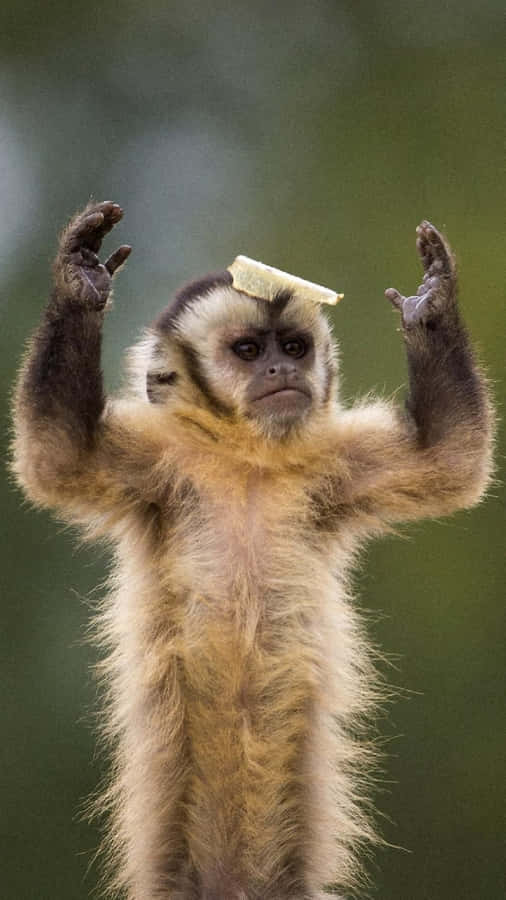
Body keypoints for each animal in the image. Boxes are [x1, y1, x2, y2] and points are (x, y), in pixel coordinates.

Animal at [11, 201, 494, 900]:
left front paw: (430, 306)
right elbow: (57, 457)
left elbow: (451, 461)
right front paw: (80, 282)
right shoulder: (158, 461)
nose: (280, 371)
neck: (249, 458)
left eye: (293, 347)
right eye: (247, 351)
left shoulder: (333, 463)